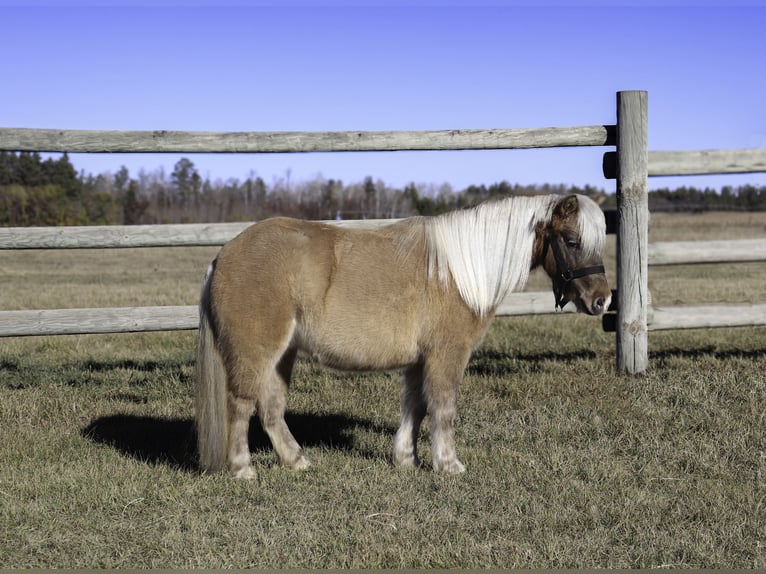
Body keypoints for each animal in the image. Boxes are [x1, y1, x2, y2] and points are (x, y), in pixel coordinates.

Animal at [196, 196, 612, 480]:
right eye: (571, 240)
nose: (602, 300)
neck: (460, 272)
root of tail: (222, 256)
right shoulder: (447, 355)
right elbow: (443, 408)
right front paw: (449, 464)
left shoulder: (418, 361)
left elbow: (415, 406)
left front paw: (406, 459)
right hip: (255, 352)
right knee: (240, 404)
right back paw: (243, 469)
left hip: (282, 355)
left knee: (270, 409)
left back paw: (297, 461)